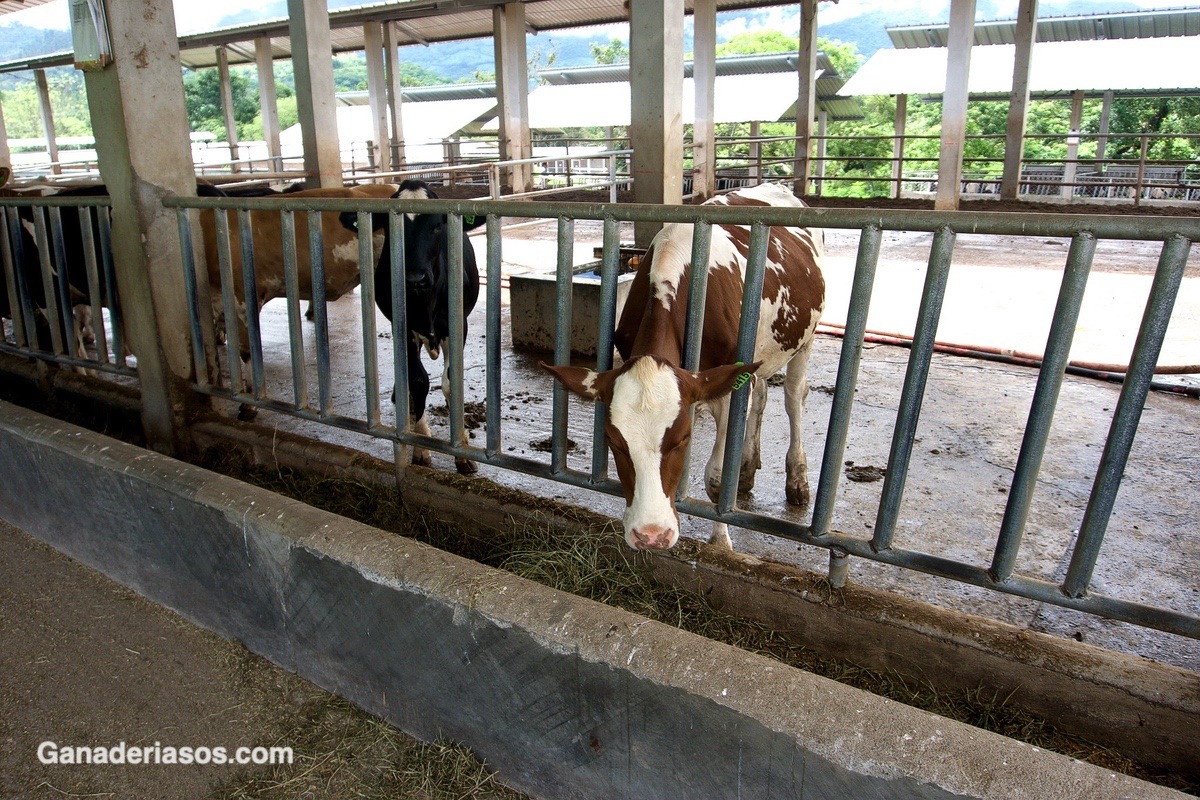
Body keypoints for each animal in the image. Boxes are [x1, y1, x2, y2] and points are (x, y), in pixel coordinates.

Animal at [544, 184, 825, 554]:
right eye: (613, 440)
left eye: (683, 438)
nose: (651, 535)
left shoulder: (725, 385)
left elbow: (715, 479)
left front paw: (720, 542)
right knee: (761, 394)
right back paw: (747, 469)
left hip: (806, 336)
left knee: (794, 397)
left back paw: (797, 480)